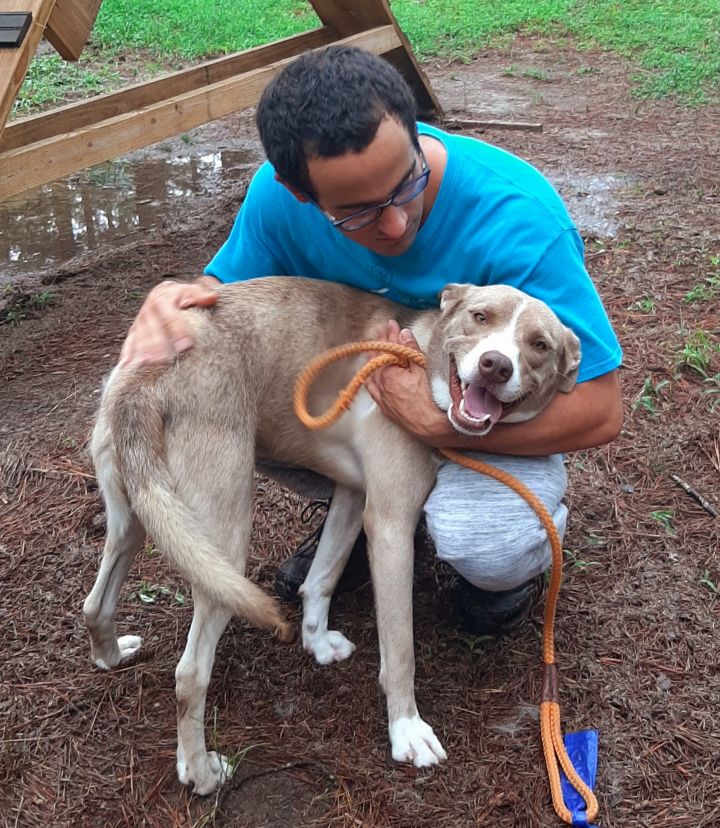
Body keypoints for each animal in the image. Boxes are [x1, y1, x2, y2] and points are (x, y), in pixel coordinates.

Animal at [83, 278, 580, 796]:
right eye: (480, 317)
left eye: (539, 345)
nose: (495, 364)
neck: (423, 360)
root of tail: (146, 378)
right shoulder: (391, 526)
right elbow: (400, 651)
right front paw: (406, 730)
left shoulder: (353, 497)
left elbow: (321, 579)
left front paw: (316, 642)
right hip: (222, 544)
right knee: (189, 673)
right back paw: (200, 772)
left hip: (138, 521)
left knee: (95, 603)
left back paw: (111, 655)